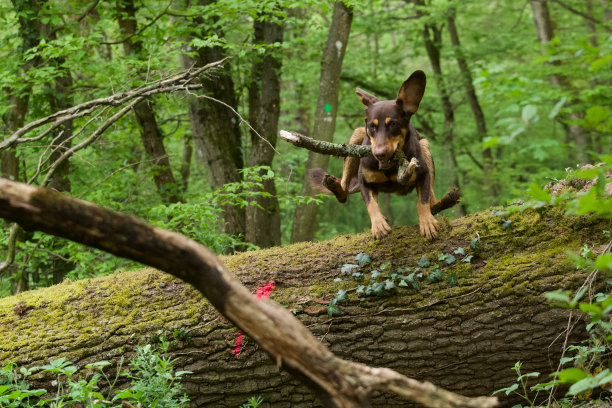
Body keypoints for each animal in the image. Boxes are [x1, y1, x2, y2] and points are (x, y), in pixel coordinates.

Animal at [310, 69, 460, 239]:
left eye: (393, 124)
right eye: (371, 126)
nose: (379, 154)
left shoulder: (424, 173)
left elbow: (422, 201)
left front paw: (427, 223)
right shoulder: (364, 181)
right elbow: (371, 204)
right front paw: (378, 224)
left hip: (425, 145)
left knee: (432, 204)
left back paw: (446, 201)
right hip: (356, 137)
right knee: (343, 192)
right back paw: (334, 184)